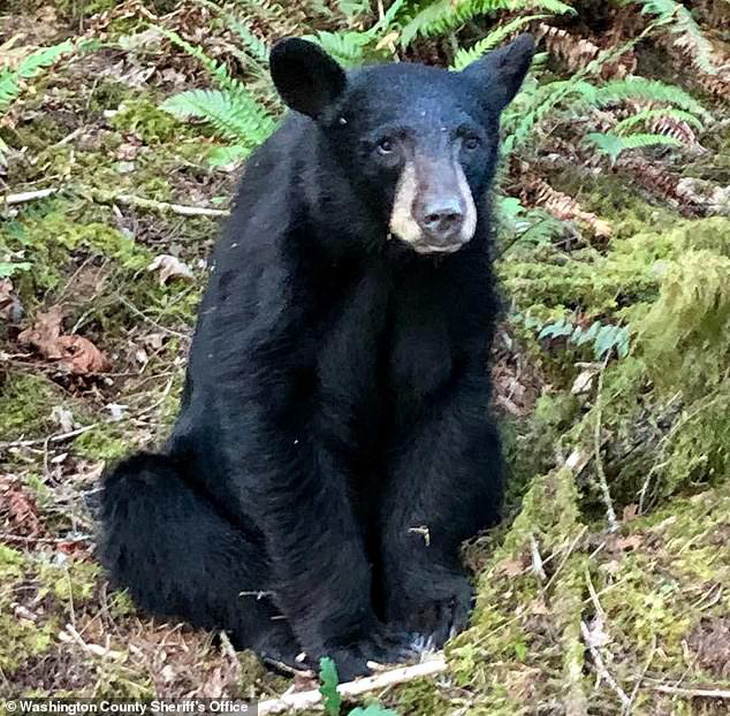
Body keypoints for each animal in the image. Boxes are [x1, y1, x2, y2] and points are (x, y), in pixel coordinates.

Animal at [99, 33, 532, 680]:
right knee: (153, 513)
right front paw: (349, 637)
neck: (384, 257)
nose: (443, 216)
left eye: (470, 139)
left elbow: (441, 417)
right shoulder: (281, 277)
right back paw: (280, 634)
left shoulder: (456, 287)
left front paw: (428, 605)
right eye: (386, 143)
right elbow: (282, 446)